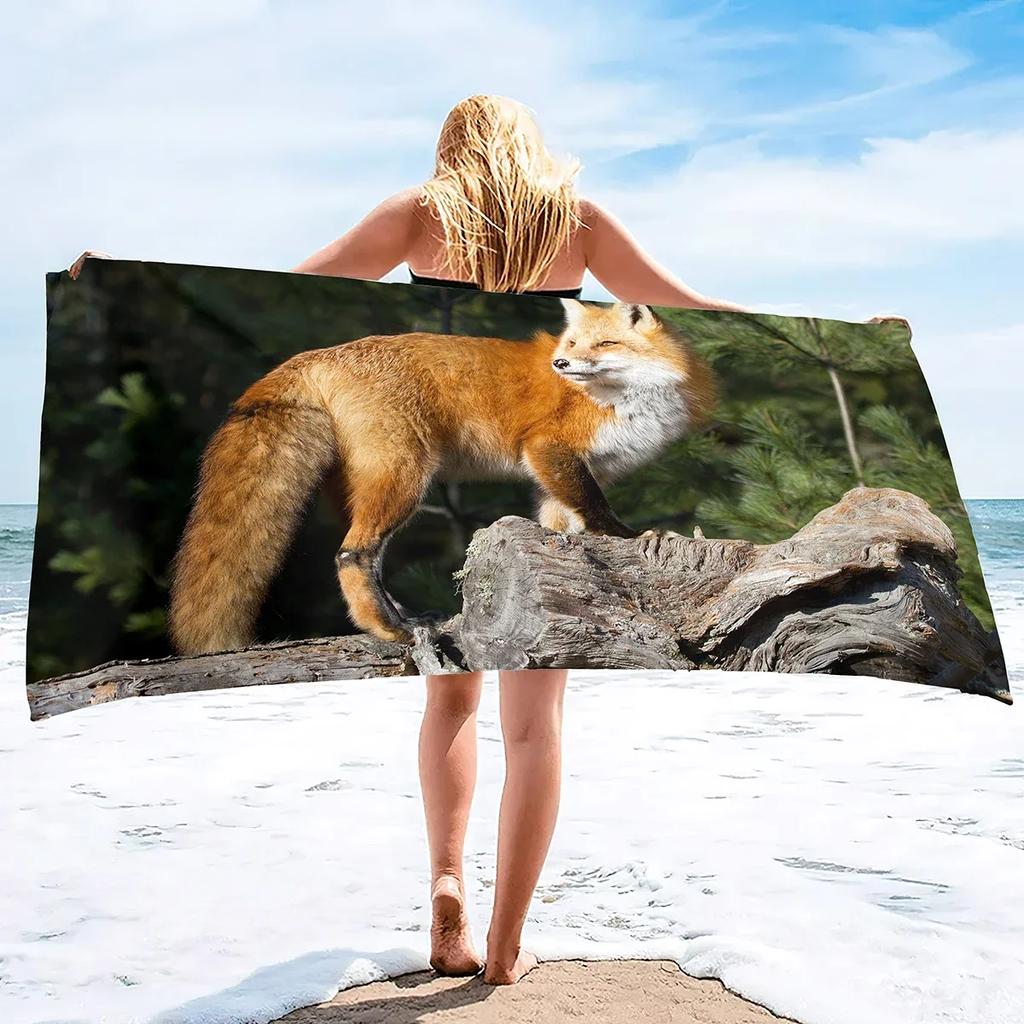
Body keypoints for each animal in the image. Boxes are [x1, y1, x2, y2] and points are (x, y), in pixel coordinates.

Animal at [167, 299, 716, 653]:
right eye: (572, 342)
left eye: (603, 343)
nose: (561, 362)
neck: (629, 400)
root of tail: (320, 354)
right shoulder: (549, 450)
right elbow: (601, 516)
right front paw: (633, 538)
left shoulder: (557, 479)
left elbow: (561, 525)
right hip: (406, 479)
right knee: (352, 553)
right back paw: (391, 631)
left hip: (363, 486)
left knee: (363, 555)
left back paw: (400, 619)